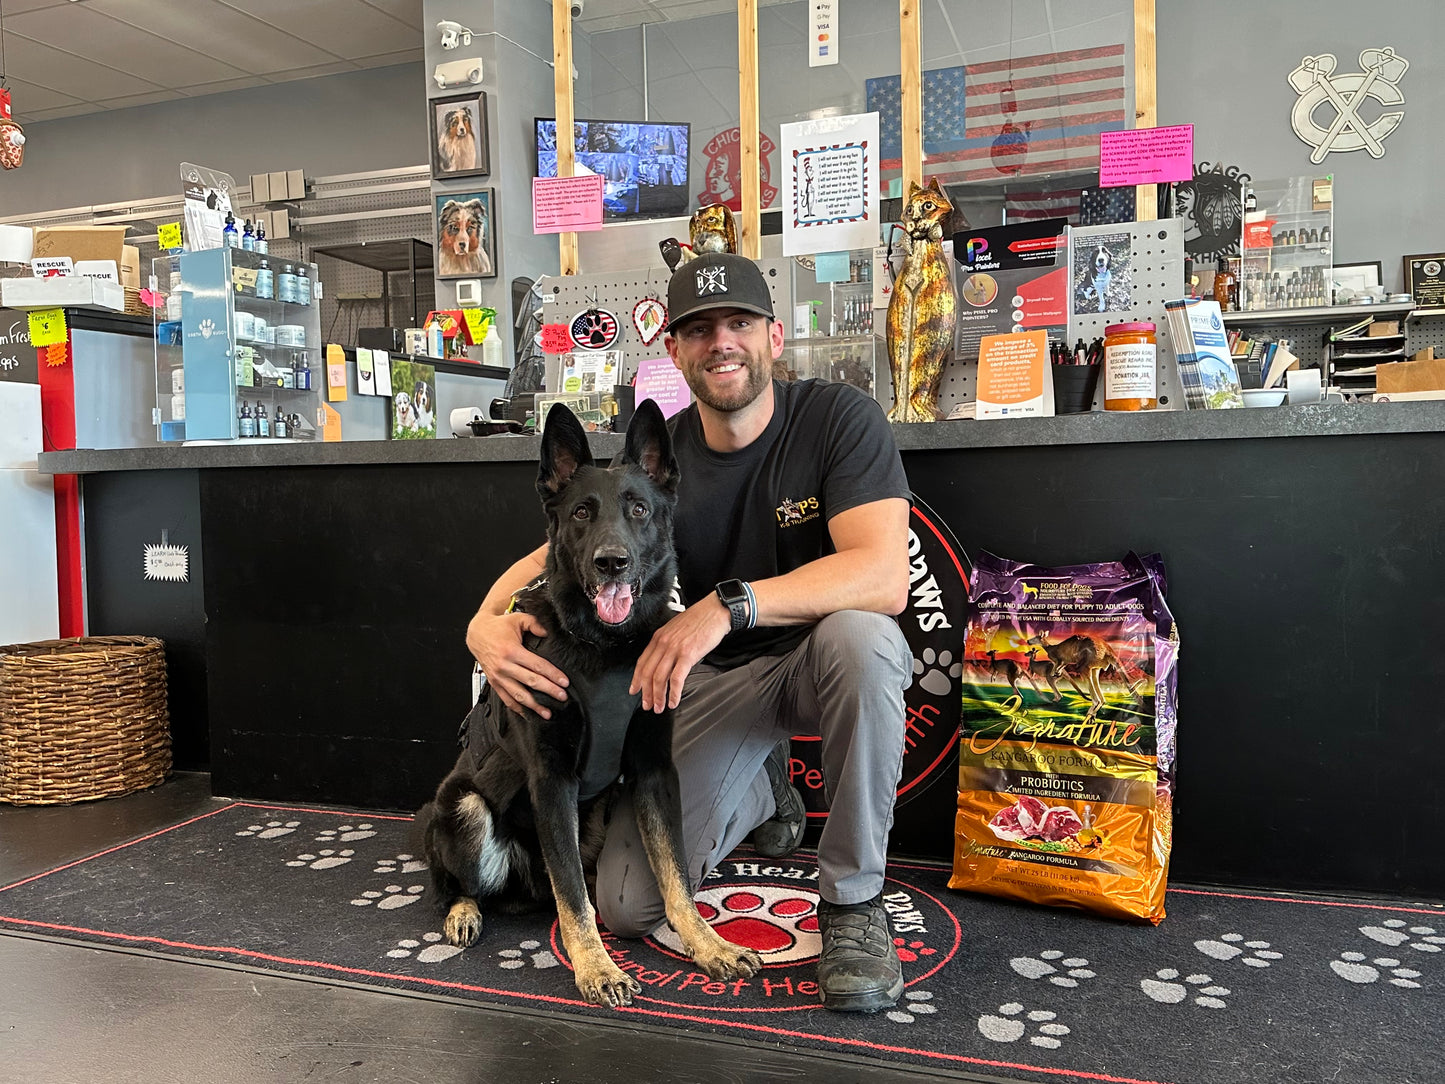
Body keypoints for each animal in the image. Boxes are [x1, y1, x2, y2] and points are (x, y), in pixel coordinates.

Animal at [416, 404, 762, 1017]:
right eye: (581, 513)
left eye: (639, 509)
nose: (611, 563)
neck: (606, 647)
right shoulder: (552, 781)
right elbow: (573, 893)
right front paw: (597, 968)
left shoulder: (653, 773)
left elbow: (675, 876)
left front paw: (708, 944)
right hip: (462, 807)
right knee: (459, 884)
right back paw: (463, 912)